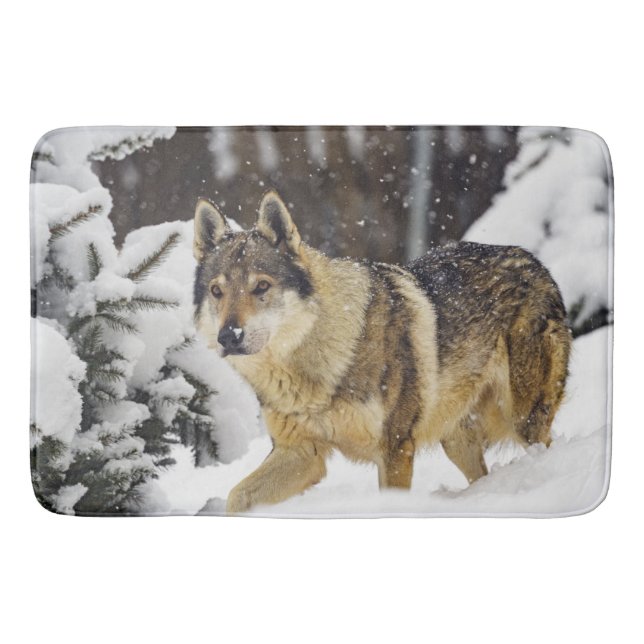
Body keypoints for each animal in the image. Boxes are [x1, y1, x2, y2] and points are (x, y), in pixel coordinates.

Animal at [193, 190, 571, 514]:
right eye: (216, 291)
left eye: (261, 286)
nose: (229, 336)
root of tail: (534, 261)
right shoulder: (301, 453)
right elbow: (237, 496)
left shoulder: (395, 448)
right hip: (457, 440)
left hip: (524, 421)